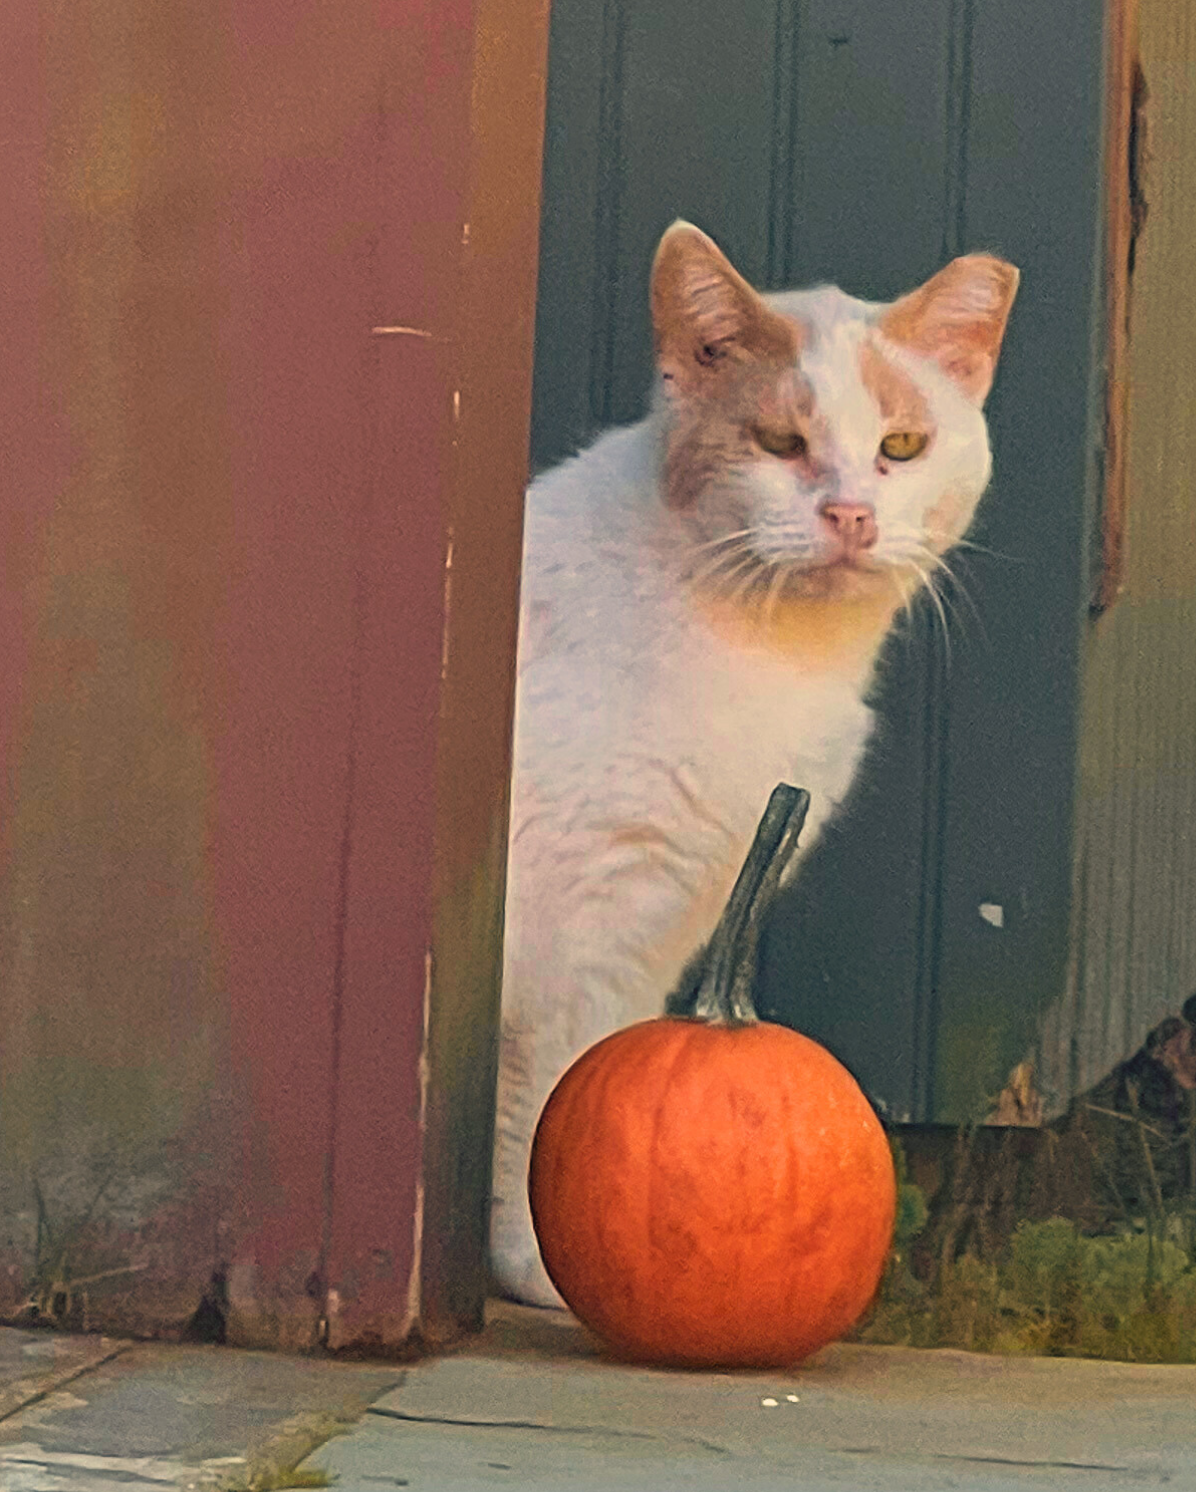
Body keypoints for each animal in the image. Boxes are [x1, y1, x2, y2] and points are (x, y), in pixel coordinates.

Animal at [489, 220, 1014, 1306]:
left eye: (901, 447)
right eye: (779, 444)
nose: (850, 515)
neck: (778, 652)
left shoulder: (663, 919)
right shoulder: (578, 927)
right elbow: (547, 1092)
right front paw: (538, 1264)